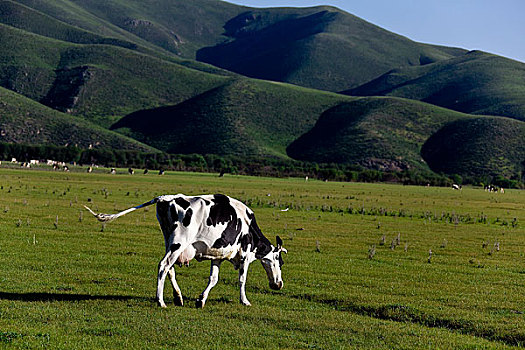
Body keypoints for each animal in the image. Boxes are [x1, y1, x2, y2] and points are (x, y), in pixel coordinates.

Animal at [84, 194, 286, 308]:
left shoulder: (217, 255)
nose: (279, 284)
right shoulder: (244, 255)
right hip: (178, 242)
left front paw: (201, 300)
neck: (250, 228)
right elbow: (242, 280)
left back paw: (178, 297)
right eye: (279, 261)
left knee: (170, 268)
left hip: (169, 240)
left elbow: (214, 279)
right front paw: (244, 301)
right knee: (164, 266)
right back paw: (160, 301)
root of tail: (166, 198)